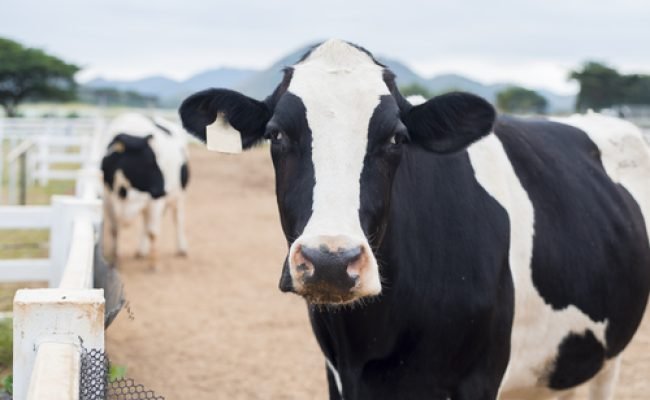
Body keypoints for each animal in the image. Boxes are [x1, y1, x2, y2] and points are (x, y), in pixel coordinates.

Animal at [101, 113, 189, 270]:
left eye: (155, 159)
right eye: (148, 162)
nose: (163, 190)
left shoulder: (155, 201)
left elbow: (153, 232)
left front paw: (154, 265)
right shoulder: (108, 199)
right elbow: (114, 231)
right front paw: (115, 261)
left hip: (179, 194)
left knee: (177, 218)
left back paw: (182, 249)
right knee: (145, 223)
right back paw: (141, 251)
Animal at [179, 40, 650, 399]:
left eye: (396, 138)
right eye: (276, 134)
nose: (331, 262)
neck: (374, 339)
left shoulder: (478, 377)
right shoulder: (338, 376)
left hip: (608, 356)